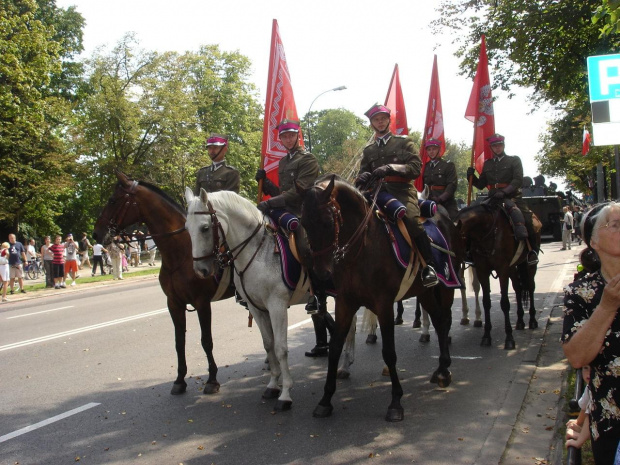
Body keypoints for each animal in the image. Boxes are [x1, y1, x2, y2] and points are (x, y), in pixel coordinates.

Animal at [93, 170, 234, 396]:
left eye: (113, 200)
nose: (96, 233)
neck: (181, 252)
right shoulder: (174, 303)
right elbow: (179, 342)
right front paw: (179, 379)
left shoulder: (202, 303)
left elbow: (206, 341)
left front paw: (212, 379)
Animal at [184, 187, 310, 408]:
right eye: (186, 228)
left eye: (205, 228)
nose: (200, 270)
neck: (256, 249)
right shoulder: (256, 308)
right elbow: (268, 344)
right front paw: (272, 385)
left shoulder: (277, 305)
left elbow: (281, 348)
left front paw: (285, 393)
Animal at [300, 174, 460, 420]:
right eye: (304, 223)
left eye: (327, 222)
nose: (320, 273)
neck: (361, 248)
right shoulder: (345, 303)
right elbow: (335, 346)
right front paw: (326, 399)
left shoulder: (384, 305)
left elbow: (389, 353)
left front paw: (395, 402)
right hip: (424, 293)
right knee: (439, 320)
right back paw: (441, 370)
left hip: (445, 287)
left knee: (444, 320)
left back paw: (444, 369)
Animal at [452, 201, 540, 350]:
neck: (486, 232)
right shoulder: (483, 271)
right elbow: (486, 302)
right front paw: (486, 336)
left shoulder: (502, 270)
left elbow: (504, 303)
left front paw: (509, 338)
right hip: (513, 268)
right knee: (518, 288)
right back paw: (520, 321)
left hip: (529, 265)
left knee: (530, 287)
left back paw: (532, 320)